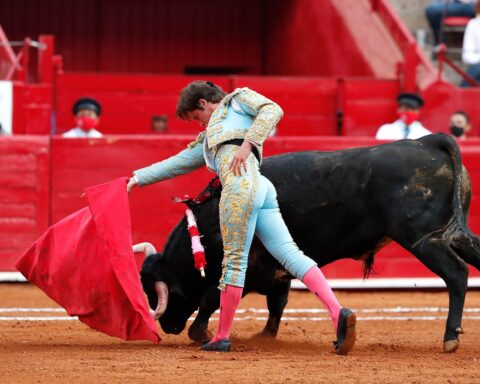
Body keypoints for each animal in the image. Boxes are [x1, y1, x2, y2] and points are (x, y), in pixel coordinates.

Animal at [141, 134, 480, 352]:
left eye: (161, 291)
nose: (168, 326)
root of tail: (427, 141)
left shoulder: (251, 265)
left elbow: (213, 295)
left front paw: (202, 333)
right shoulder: (276, 272)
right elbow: (277, 303)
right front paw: (265, 336)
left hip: (421, 238)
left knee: (456, 274)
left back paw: (450, 337)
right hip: (453, 235)